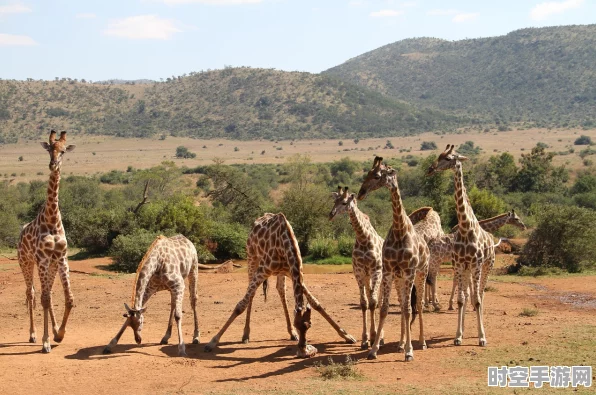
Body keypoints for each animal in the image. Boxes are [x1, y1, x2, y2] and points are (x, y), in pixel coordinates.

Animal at [17, 131, 75, 354]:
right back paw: (33, 335)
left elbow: (68, 298)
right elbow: (43, 299)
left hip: (50, 265)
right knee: (32, 294)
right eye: (49, 149)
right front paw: (45, 342)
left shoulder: (61, 258)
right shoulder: (41, 259)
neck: (52, 219)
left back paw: (55, 330)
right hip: (26, 262)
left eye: (64, 151)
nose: (53, 164)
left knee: (47, 294)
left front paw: (59, 334)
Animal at [203, 213, 356, 358]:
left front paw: (347, 335)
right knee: (251, 294)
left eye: (309, 325)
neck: (285, 244)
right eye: (297, 324)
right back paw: (246, 335)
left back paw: (291, 333)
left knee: (280, 290)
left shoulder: (293, 272)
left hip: (280, 273)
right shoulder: (263, 270)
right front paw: (212, 342)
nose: (303, 351)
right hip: (252, 259)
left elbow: (316, 303)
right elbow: (241, 305)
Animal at [328, 186, 384, 350]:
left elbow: (373, 302)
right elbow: (364, 303)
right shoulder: (359, 272)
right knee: (372, 299)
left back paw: (380, 337)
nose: (330, 215)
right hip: (367, 277)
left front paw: (374, 337)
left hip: (382, 276)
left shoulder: (376, 271)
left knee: (379, 301)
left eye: (344, 202)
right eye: (334, 201)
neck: (363, 238)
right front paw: (365, 340)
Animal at [356, 158, 430, 362]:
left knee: (417, 305)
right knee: (405, 305)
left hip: (420, 273)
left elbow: (408, 309)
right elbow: (385, 308)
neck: (399, 229)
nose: (361, 193)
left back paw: (421, 343)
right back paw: (400, 344)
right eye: (367, 173)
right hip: (399, 279)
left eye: (377, 176)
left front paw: (410, 352)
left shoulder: (410, 272)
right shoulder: (389, 272)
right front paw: (373, 349)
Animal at [426, 145, 496, 346]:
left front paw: (481, 337)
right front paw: (458, 335)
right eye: (439, 156)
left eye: (449, 158)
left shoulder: (477, 264)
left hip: (487, 266)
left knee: (481, 294)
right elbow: (460, 299)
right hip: (466, 269)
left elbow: (477, 299)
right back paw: (463, 330)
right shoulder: (459, 264)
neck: (465, 228)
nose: (430, 169)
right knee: (466, 295)